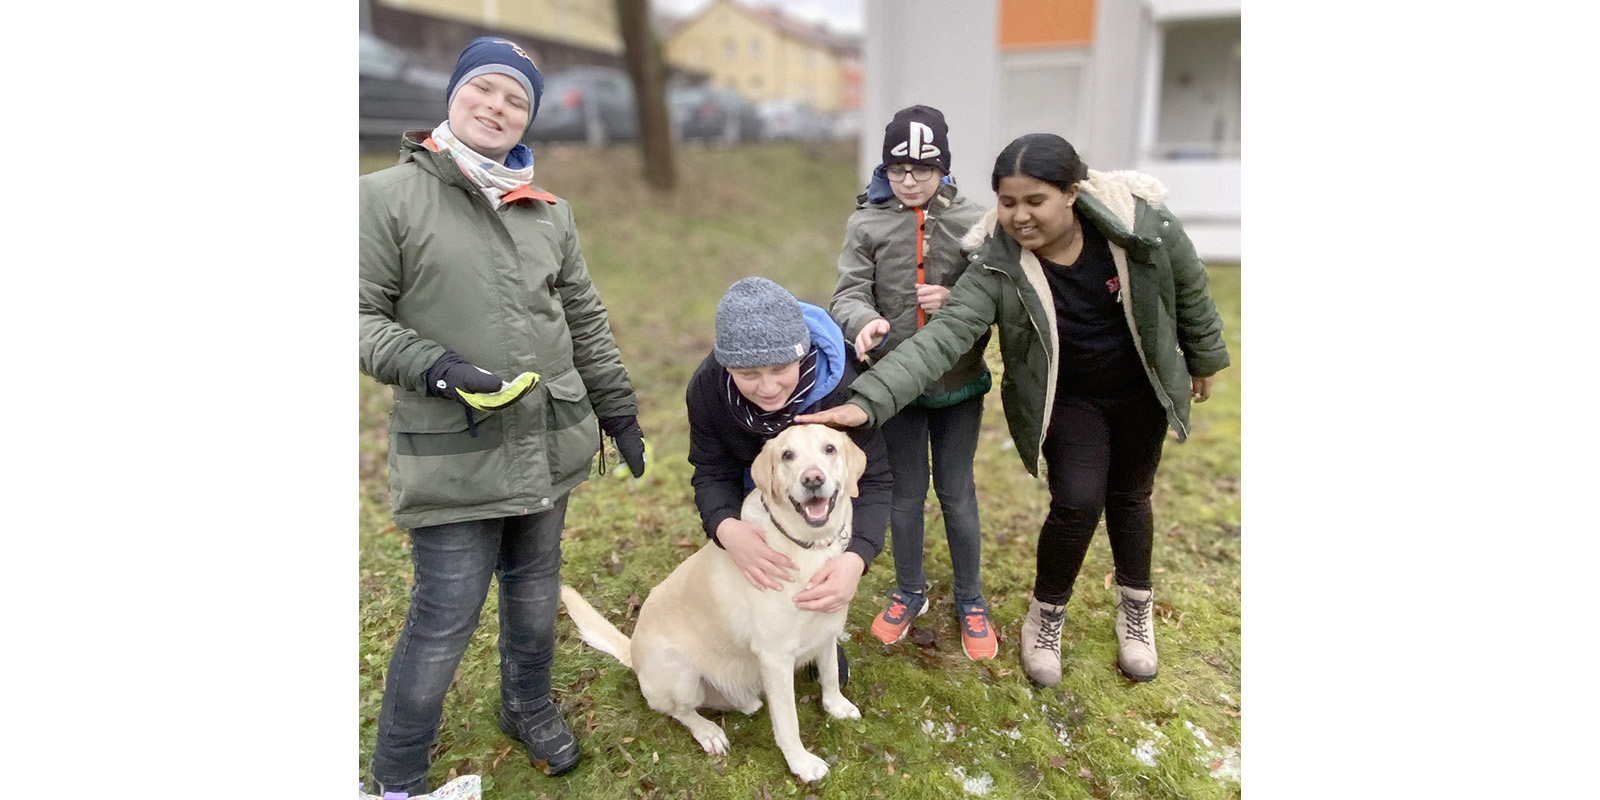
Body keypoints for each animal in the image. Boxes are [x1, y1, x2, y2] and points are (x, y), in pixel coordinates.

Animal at [560, 425, 864, 780]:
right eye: (788, 455)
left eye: (830, 449)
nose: (813, 479)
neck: (808, 546)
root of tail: (632, 652)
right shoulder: (775, 658)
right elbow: (788, 721)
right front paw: (801, 763)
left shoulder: (826, 629)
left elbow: (829, 674)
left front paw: (835, 706)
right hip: (681, 673)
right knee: (679, 711)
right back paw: (708, 732)